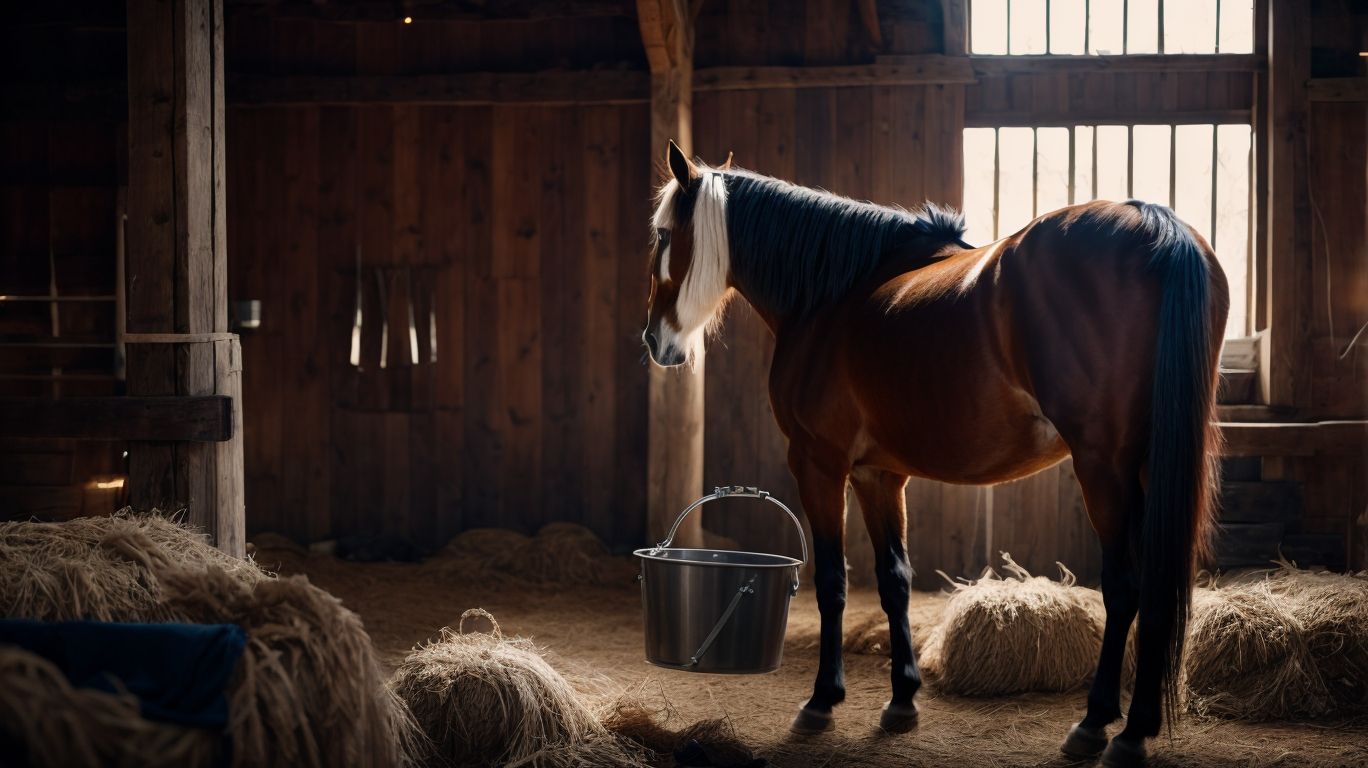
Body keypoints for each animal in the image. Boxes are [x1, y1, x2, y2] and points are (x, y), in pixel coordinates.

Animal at [642, 140, 1227, 767]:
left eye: (663, 235)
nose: (655, 340)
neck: (833, 293)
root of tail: (1154, 224)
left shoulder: (818, 464)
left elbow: (832, 581)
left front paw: (822, 701)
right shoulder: (879, 475)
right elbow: (894, 578)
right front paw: (902, 700)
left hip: (1104, 468)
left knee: (1124, 588)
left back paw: (1102, 725)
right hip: (1145, 468)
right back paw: (1133, 726)